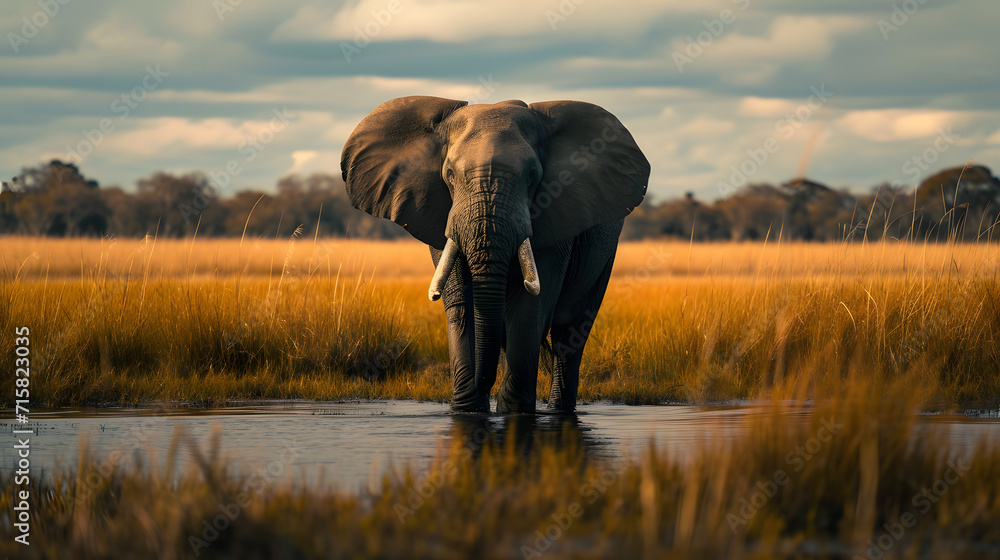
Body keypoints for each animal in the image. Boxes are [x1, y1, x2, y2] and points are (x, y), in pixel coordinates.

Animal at [341, 96, 650, 413]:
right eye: (449, 175)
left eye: (533, 176)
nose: (481, 388)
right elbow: (461, 304)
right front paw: (467, 409)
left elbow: (529, 305)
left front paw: (514, 411)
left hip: (605, 253)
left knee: (570, 332)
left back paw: (557, 409)